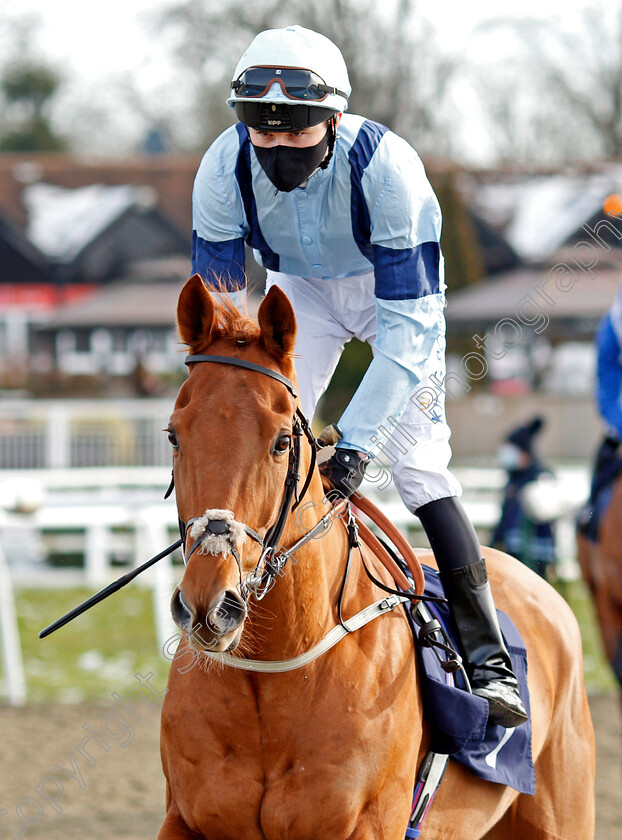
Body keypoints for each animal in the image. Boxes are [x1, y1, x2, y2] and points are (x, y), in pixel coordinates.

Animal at [158, 278, 596, 840]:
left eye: (281, 441)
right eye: (174, 435)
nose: (210, 603)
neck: (270, 672)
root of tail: (539, 585)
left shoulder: (366, 823)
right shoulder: (184, 817)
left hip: (564, 809)